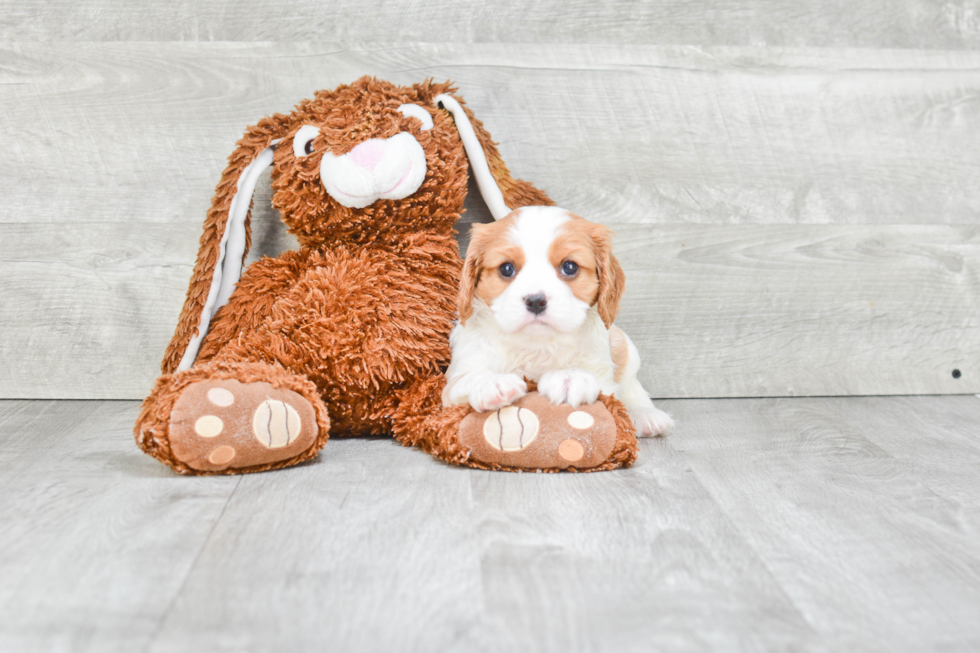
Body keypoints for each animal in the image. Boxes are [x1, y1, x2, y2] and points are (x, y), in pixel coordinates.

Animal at [444, 206, 672, 436]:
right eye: (506, 268)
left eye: (569, 267)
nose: (536, 301)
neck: (537, 345)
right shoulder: (453, 384)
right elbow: (468, 378)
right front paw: (491, 382)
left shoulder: (602, 372)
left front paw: (569, 377)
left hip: (626, 348)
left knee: (632, 388)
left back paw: (645, 415)